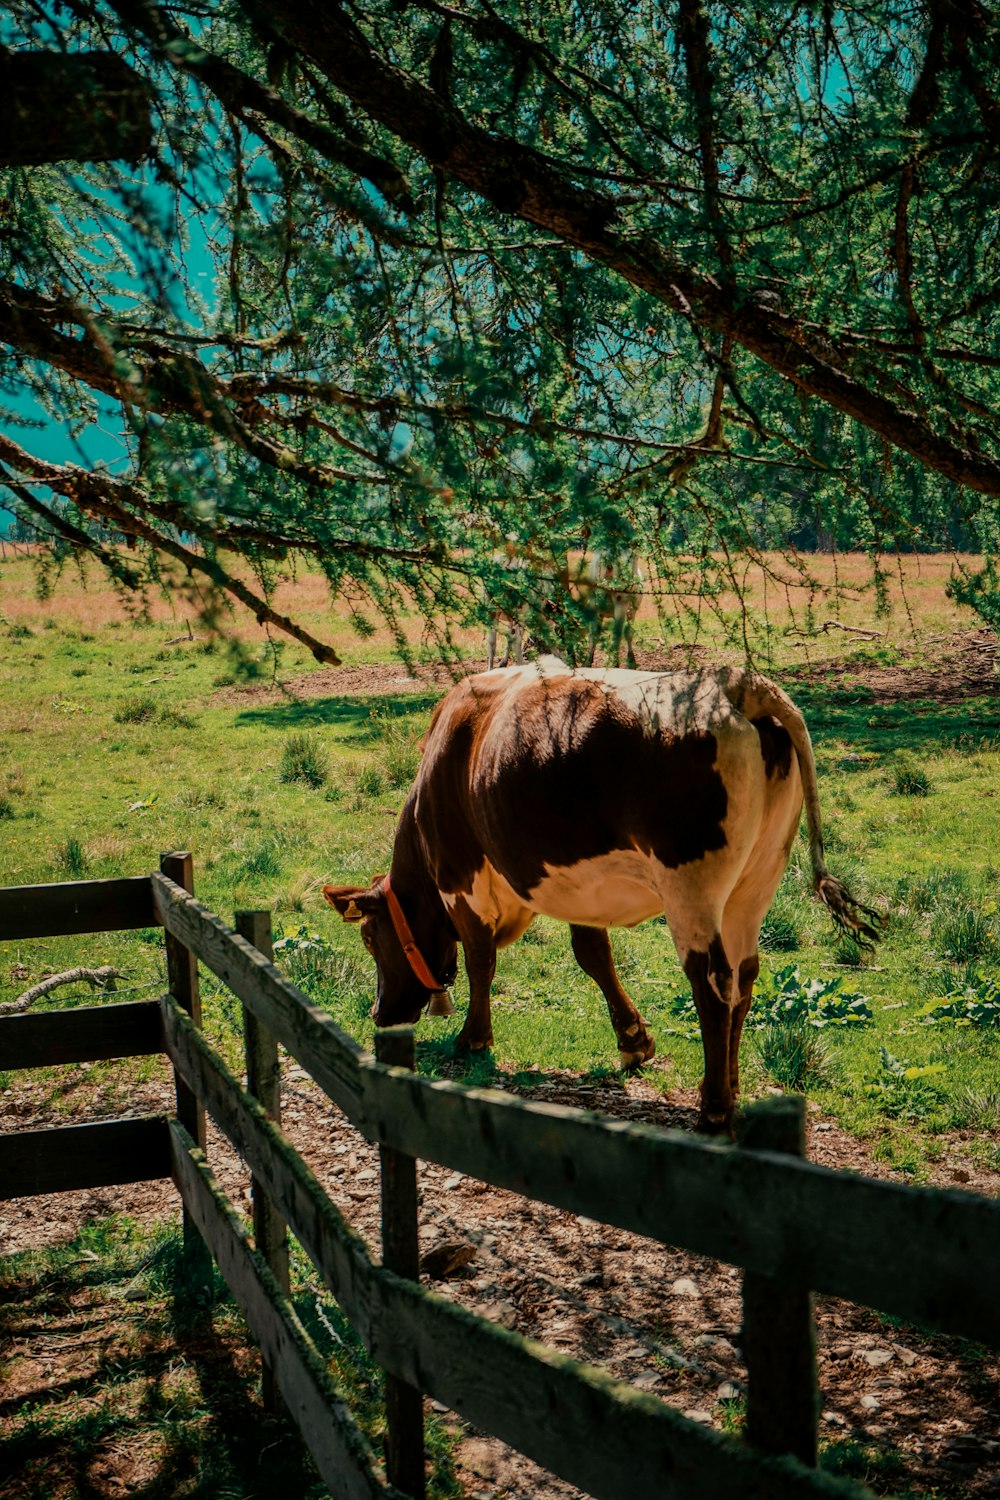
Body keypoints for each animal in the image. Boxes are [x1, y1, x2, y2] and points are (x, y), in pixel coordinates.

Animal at [325, 663, 881, 1128]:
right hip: (755, 885)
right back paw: (730, 1084)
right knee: (744, 978)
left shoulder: (459, 878)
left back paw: (714, 1107)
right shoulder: (580, 888)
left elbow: (480, 959)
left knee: (712, 983)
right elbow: (593, 955)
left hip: (690, 890)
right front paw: (634, 1040)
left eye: (371, 939)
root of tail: (735, 683)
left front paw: (473, 1038)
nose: (380, 1015)